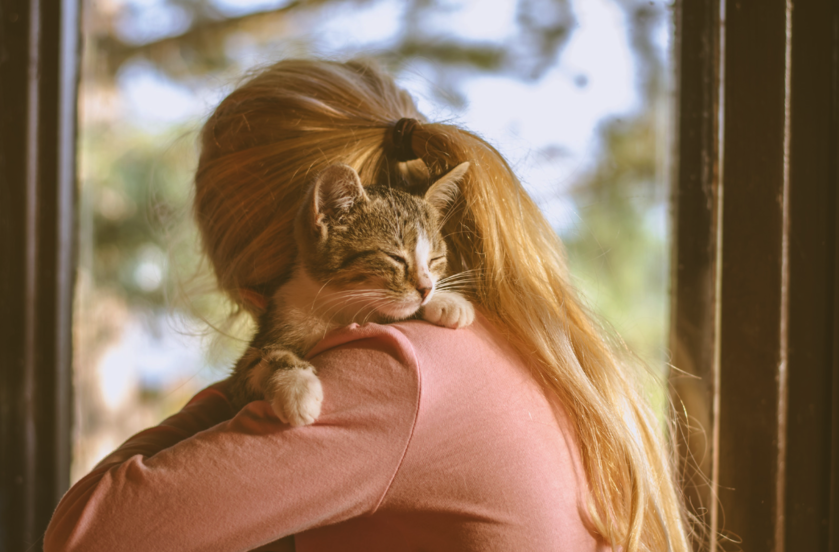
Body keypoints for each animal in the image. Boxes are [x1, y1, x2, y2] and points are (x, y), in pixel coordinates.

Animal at [230, 162, 476, 424]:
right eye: (395, 257)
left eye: (435, 259)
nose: (427, 289)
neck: (341, 307)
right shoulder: (259, 347)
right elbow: (262, 359)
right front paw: (297, 389)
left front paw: (448, 301)